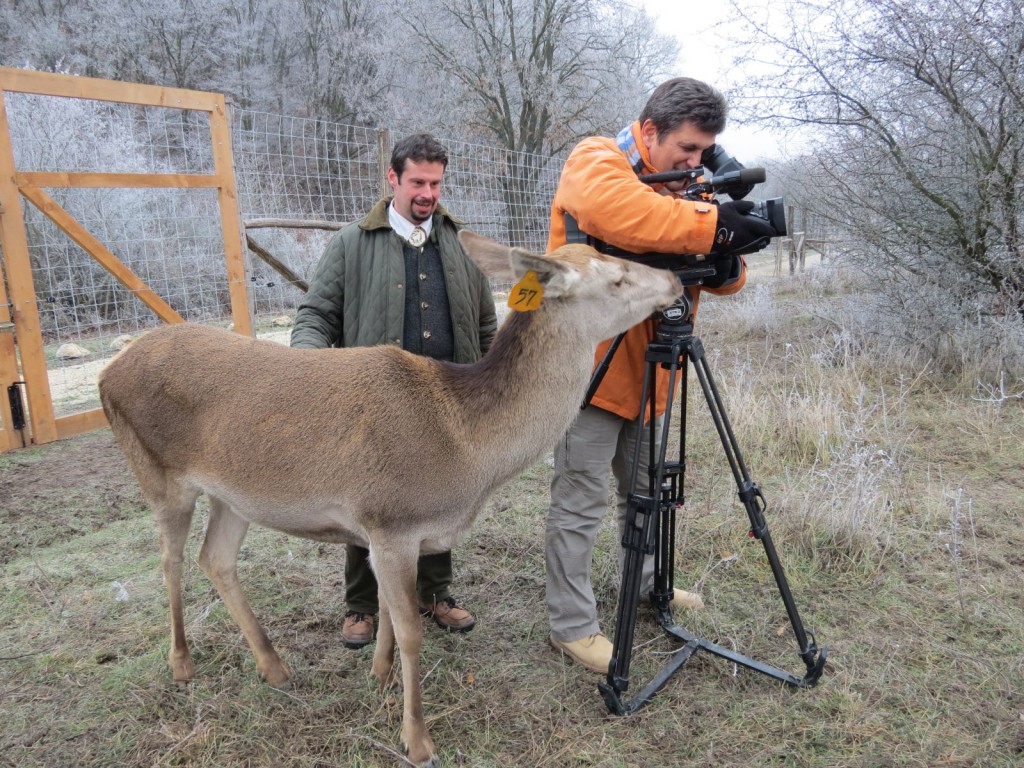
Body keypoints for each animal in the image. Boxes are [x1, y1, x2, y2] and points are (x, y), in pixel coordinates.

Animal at [99, 231, 684, 768]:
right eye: (617, 277)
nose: (676, 280)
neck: (467, 453)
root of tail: (108, 374)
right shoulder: (393, 519)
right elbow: (411, 632)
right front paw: (417, 738)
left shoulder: (384, 529)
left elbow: (385, 609)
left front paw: (380, 677)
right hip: (158, 472)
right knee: (171, 559)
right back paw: (182, 664)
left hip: (234, 495)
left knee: (214, 558)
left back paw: (276, 668)